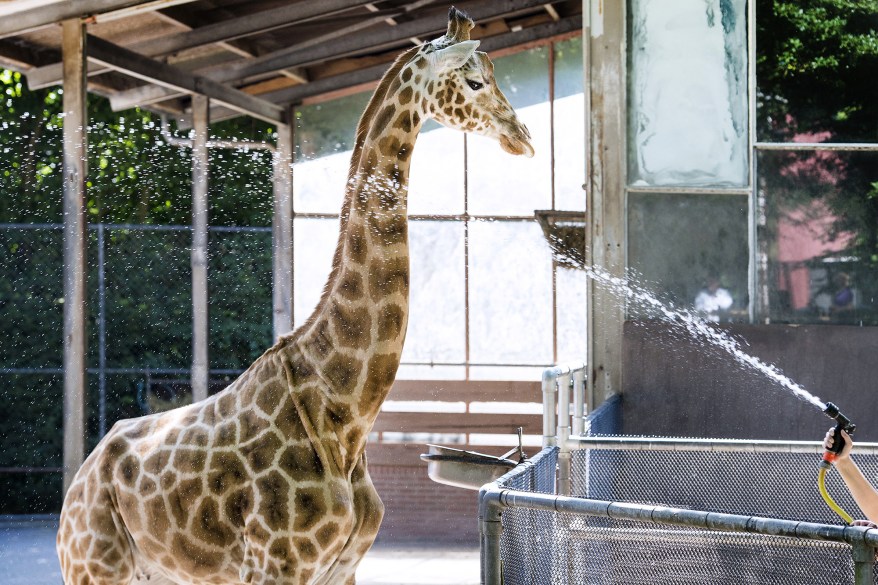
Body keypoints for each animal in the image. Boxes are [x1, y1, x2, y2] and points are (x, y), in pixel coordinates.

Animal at [58, 8, 532, 584]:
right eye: (475, 81)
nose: (523, 137)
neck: (347, 412)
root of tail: (79, 479)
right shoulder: (276, 564)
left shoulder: (342, 568)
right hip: (93, 566)